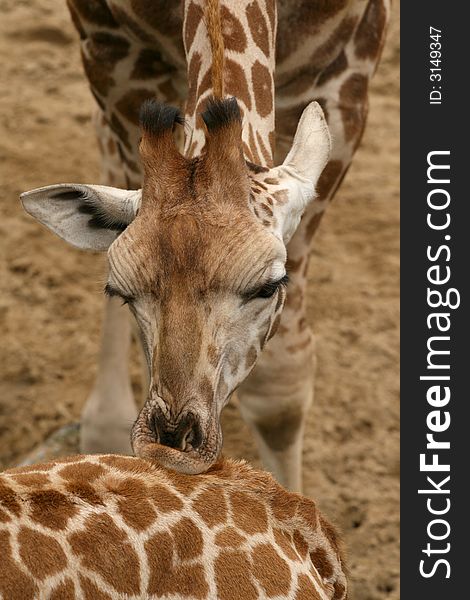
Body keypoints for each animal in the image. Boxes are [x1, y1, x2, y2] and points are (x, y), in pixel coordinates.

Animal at [19, 0, 390, 490]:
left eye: (268, 286)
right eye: (120, 293)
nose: (174, 444)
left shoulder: (346, 68)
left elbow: (280, 388)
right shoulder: (111, 50)